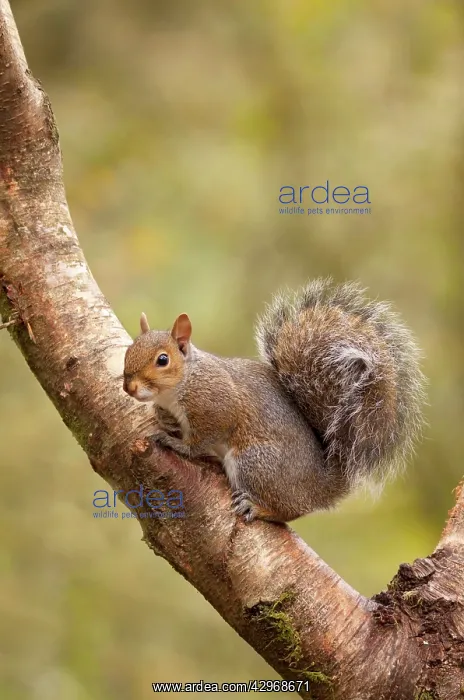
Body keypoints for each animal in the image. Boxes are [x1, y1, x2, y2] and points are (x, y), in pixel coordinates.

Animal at [123, 279, 425, 523]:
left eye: (163, 360)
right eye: (129, 350)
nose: (129, 387)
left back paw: (259, 509)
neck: (181, 384)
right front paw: (163, 418)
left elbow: (200, 441)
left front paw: (176, 443)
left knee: (289, 512)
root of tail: (320, 487)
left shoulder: (217, 404)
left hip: (254, 462)